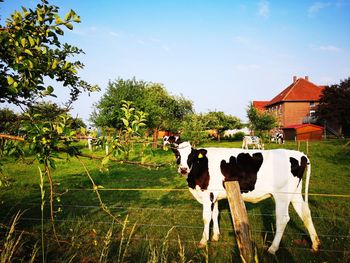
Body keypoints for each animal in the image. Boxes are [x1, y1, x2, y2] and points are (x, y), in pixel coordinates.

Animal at [172, 142, 320, 256]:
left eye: (191, 156)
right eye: (178, 155)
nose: (183, 169)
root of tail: (301, 154)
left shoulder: (207, 194)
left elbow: (206, 217)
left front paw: (203, 241)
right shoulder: (215, 195)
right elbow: (215, 214)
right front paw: (215, 236)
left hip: (282, 195)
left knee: (283, 219)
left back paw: (272, 248)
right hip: (294, 192)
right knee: (305, 213)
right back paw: (315, 245)